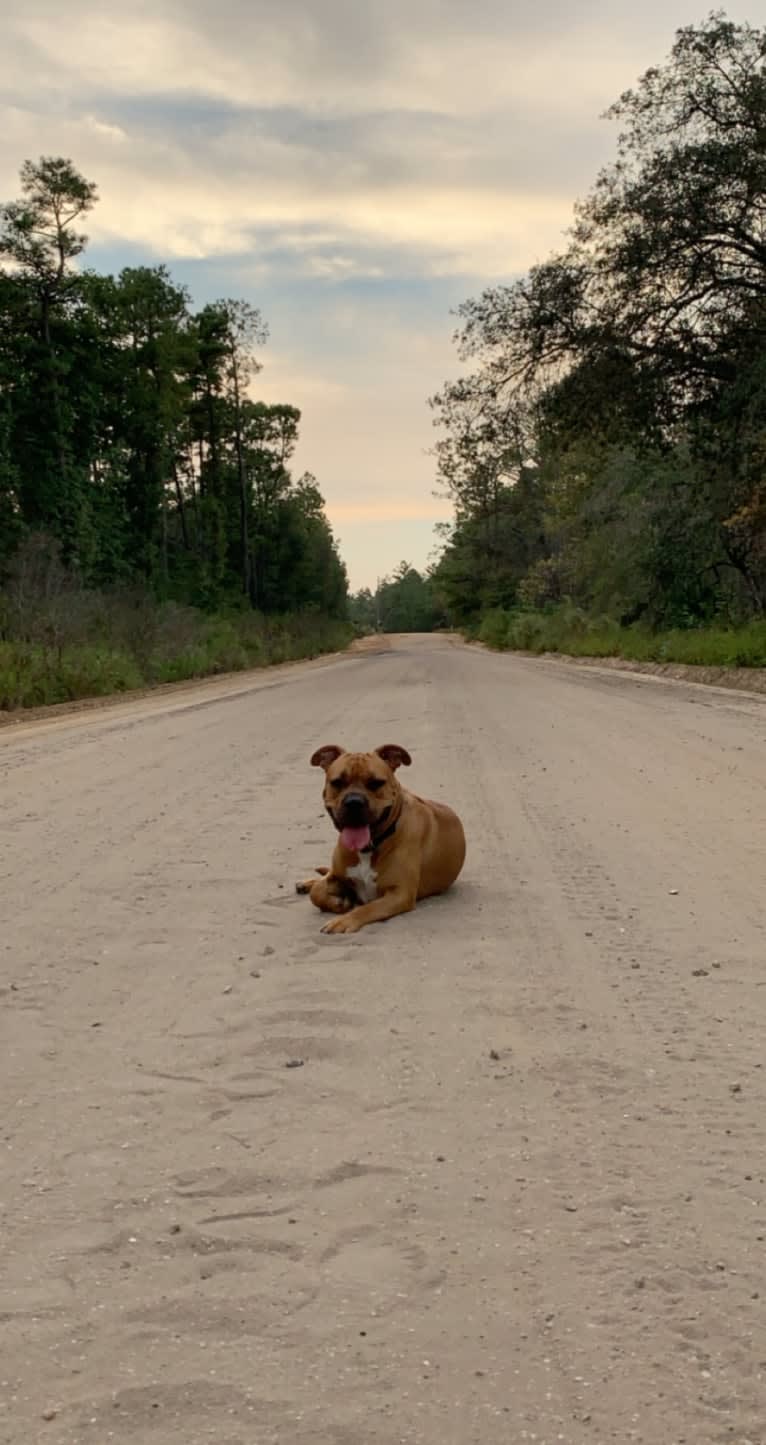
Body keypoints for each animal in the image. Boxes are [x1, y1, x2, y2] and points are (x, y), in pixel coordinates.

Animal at [296, 745, 465, 936]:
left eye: (376, 783)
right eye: (337, 782)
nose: (354, 802)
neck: (368, 848)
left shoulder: (400, 894)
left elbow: (366, 908)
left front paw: (343, 920)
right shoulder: (338, 874)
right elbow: (316, 892)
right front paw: (337, 901)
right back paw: (306, 883)